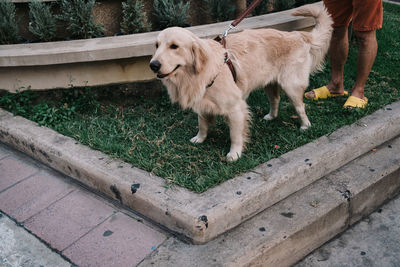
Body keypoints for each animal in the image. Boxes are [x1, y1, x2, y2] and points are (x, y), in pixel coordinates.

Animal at [149, 4, 332, 162]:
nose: (153, 65)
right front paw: (199, 138)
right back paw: (271, 116)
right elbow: (202, 124)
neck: (198, 73)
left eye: (174, 46)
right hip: (268, 83)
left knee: (300, 107)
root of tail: (298, 35)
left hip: (291, 86)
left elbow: (235, 135)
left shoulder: (235, 108)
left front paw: (234, 154)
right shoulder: (203, 103)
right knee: (275, 99)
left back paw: (305, 126)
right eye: (156, 45)